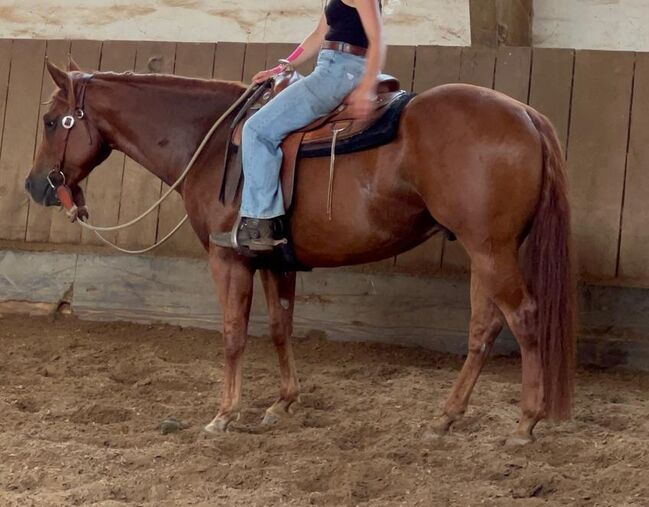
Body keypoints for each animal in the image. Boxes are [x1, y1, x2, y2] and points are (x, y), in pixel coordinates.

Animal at [24, 61, 572, 444]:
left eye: (51, 121)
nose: (34, 186)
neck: (213, 141)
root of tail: (525, 114)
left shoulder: (229, 260)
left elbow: (233, 335)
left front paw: (224, 415)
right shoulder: (274, 260)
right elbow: (280, 328)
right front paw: (282, 404)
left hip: (492, 251)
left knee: (524, 316)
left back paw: (525, 424)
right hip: (485, 253)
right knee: (484, 328)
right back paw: (445, 418)